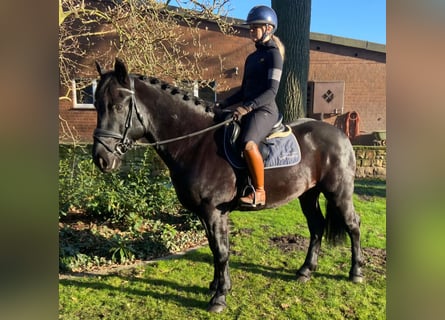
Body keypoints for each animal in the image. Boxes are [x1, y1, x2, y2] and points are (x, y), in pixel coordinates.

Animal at [92, 58, 362, 312]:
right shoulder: (203, 213)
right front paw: (216, 286)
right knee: (317, 226)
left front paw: (219, 297)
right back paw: (306, 270)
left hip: (338, 192)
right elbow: (214, 249)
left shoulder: (214, 211)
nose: (101, 159)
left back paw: (356, 273)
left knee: (353, 225)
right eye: (95, 105)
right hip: (308, 194)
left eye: (117, 106)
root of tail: (340, 135)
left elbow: (221, 251)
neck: (196, 143)